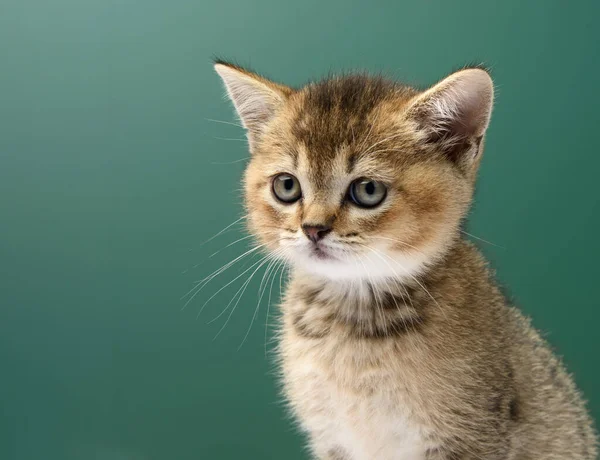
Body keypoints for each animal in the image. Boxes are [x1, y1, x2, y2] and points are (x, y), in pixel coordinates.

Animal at [213, 62, 596, 460]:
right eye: (286, 186)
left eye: (367, 190)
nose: (313, 229)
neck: (352, 327)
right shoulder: (332, 440)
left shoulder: (472, 437)